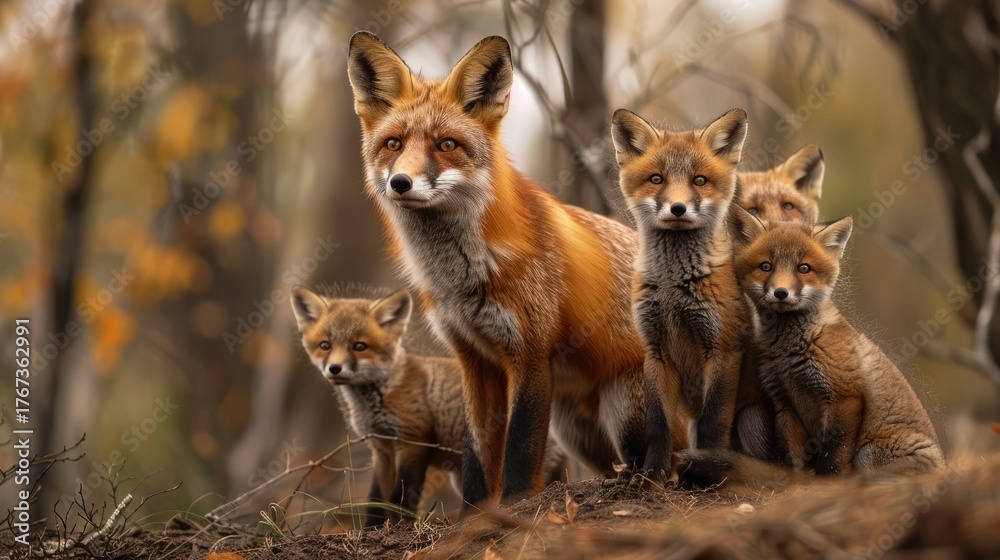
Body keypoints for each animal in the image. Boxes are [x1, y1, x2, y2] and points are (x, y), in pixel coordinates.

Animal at [290, 286, 568, 525]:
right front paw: (371, 530)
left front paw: (400, 527)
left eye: (359, 346)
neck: (378, 396)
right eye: (325, 345)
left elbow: (401, 496)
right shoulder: (381, 448)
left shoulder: (414, 439)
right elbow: (375, 499)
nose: (334, 369)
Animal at [346, 32, 659, 510]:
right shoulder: (473, 358)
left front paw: (513, 508)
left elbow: (519, 449)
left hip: (624, 412)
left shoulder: (529, 354)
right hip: (575, 428)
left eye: (447, 145)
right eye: (394, 144)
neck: (462, 278)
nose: (401, 183)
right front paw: (473, 515)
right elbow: (478, 453)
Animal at [611, 107, 755, 462]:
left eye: (699, 181)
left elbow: (712, 422)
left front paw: (706, 465)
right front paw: (652, 472)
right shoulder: (655, 350)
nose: (678, 208)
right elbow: (658, 425)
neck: (672, 287)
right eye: (657, 179)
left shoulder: (723, 349)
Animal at [677, 212, 945, 489]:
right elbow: (792, 458)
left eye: (803, 268)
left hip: (869, 453)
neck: (792, 351)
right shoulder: (783, 400)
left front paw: (827, 488)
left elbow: (833, 457)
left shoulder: (845, 397)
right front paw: (797, 487)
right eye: (766, 266)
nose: (781, 293)